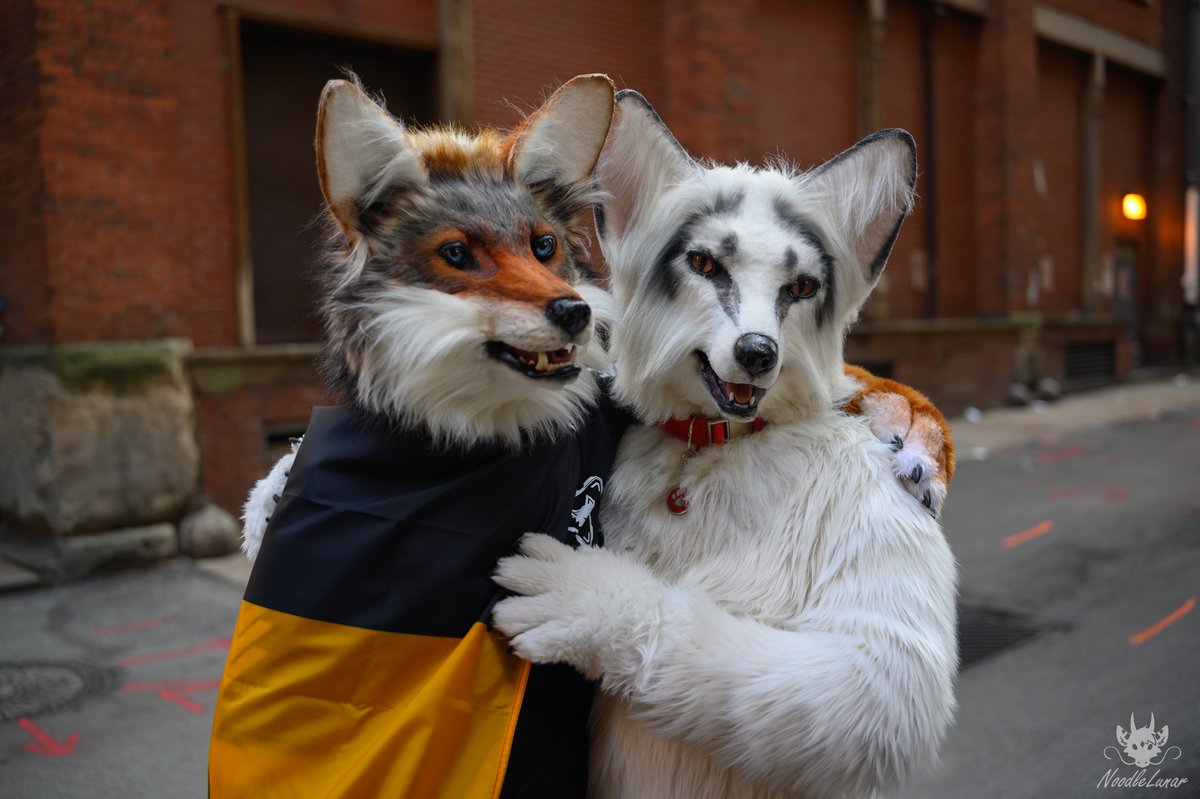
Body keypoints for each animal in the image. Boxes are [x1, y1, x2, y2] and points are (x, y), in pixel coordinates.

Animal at [217, 75, 955, 798]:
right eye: (704, 265)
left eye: (801, 287)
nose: (758, 353)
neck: (705, 444)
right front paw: (275, 489)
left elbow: (875, 686)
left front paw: (588, 604)